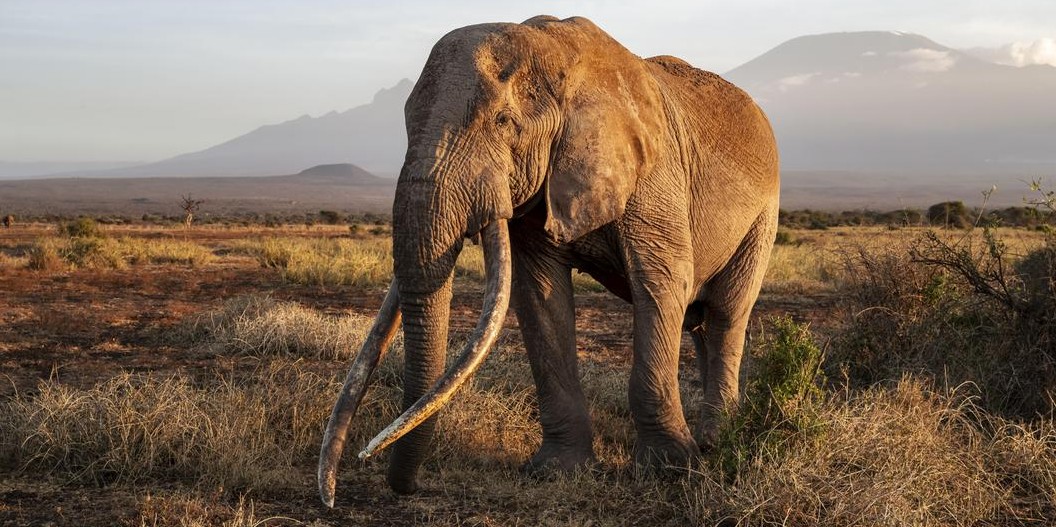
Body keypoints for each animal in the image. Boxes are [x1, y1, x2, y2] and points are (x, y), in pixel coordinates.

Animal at [318, 15, 779, 506]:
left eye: (504, 122)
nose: (402, 484)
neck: (557, 53)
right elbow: (539, 295)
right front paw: (555, 471)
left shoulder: (655, 174)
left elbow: (660, 283)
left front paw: (670, 470)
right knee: (700, 322)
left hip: (763, 216)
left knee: (726, 314)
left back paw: (716, 440)